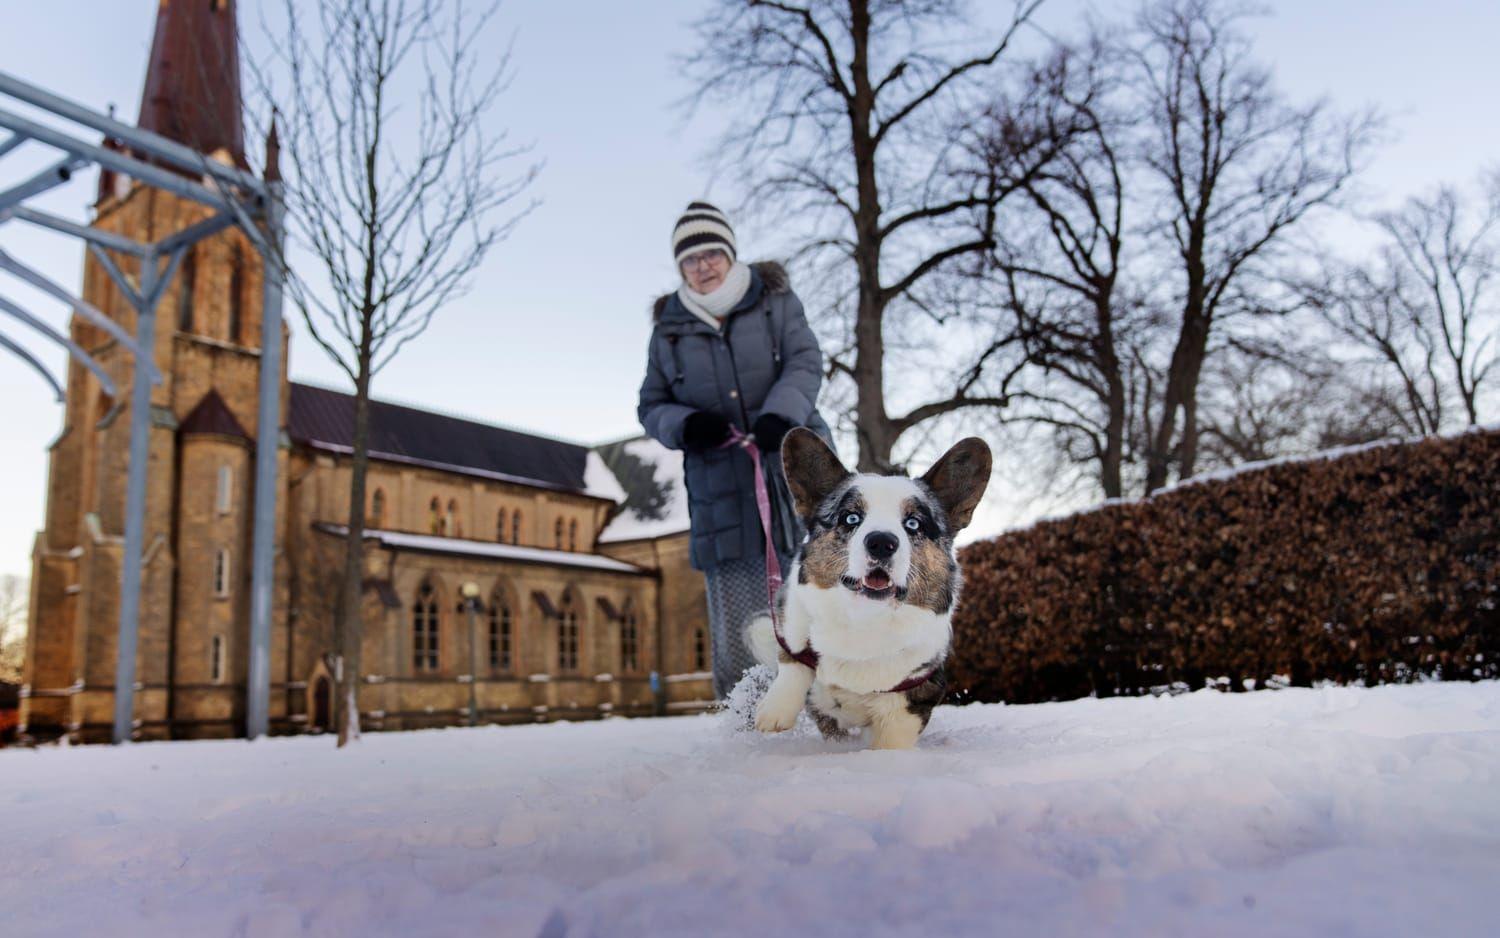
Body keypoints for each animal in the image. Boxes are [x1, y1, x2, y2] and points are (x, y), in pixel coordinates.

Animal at [747, 429, 984, 750]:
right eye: (851, 518)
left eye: (913, 523)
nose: (882, 542)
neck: (865, 619)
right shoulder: (791, 620)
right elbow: (793, 659)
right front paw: (774, 711)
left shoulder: (913, 698)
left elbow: (890, 740)